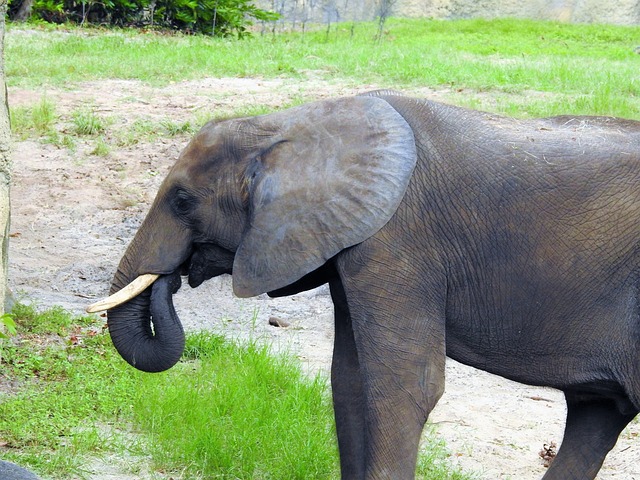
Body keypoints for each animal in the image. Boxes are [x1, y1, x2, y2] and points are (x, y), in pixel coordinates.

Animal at [89, 91, 640, 480]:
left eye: (182, 200)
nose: (172, 277)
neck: (293, 123)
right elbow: (351, 380)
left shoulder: (399, 239)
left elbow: (404, 385)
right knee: (594, 419)